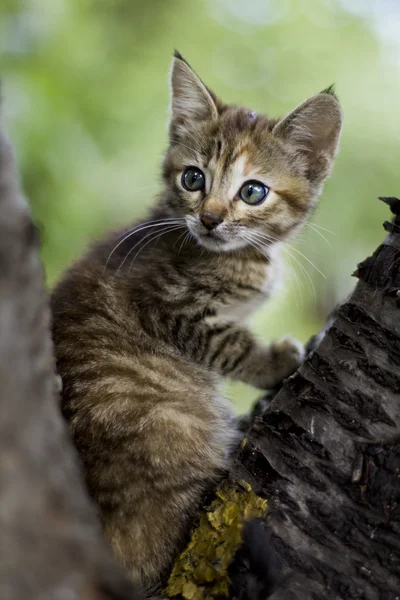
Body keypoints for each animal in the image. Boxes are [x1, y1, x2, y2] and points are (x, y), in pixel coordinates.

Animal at [51, 50, 342, 584]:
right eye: (193, 179)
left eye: (253, 192)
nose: (209, 218)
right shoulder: (165, 304)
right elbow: (229, 343)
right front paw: (279, 361)